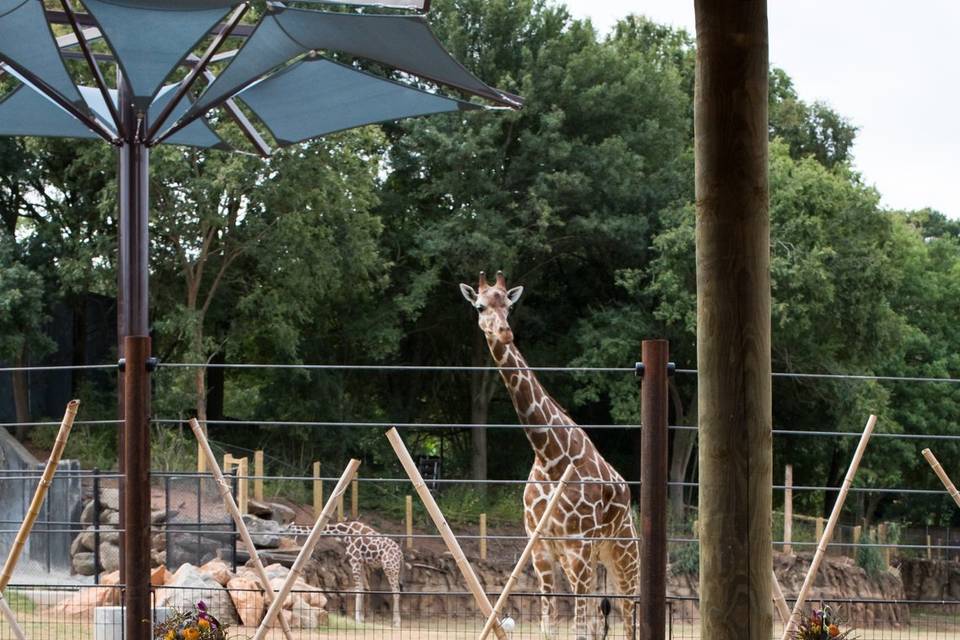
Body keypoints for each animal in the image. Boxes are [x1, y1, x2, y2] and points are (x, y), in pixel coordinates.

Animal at [464, 272, 640, 640]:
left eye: (509, 305)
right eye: (480, 306)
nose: (504, 332)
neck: (550, 457)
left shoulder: (578, 546)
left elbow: (579, 630)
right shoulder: (541, 548)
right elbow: (550, 626)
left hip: (623, 554)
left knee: (630, 615)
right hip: (597, 559)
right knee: (604, 619)